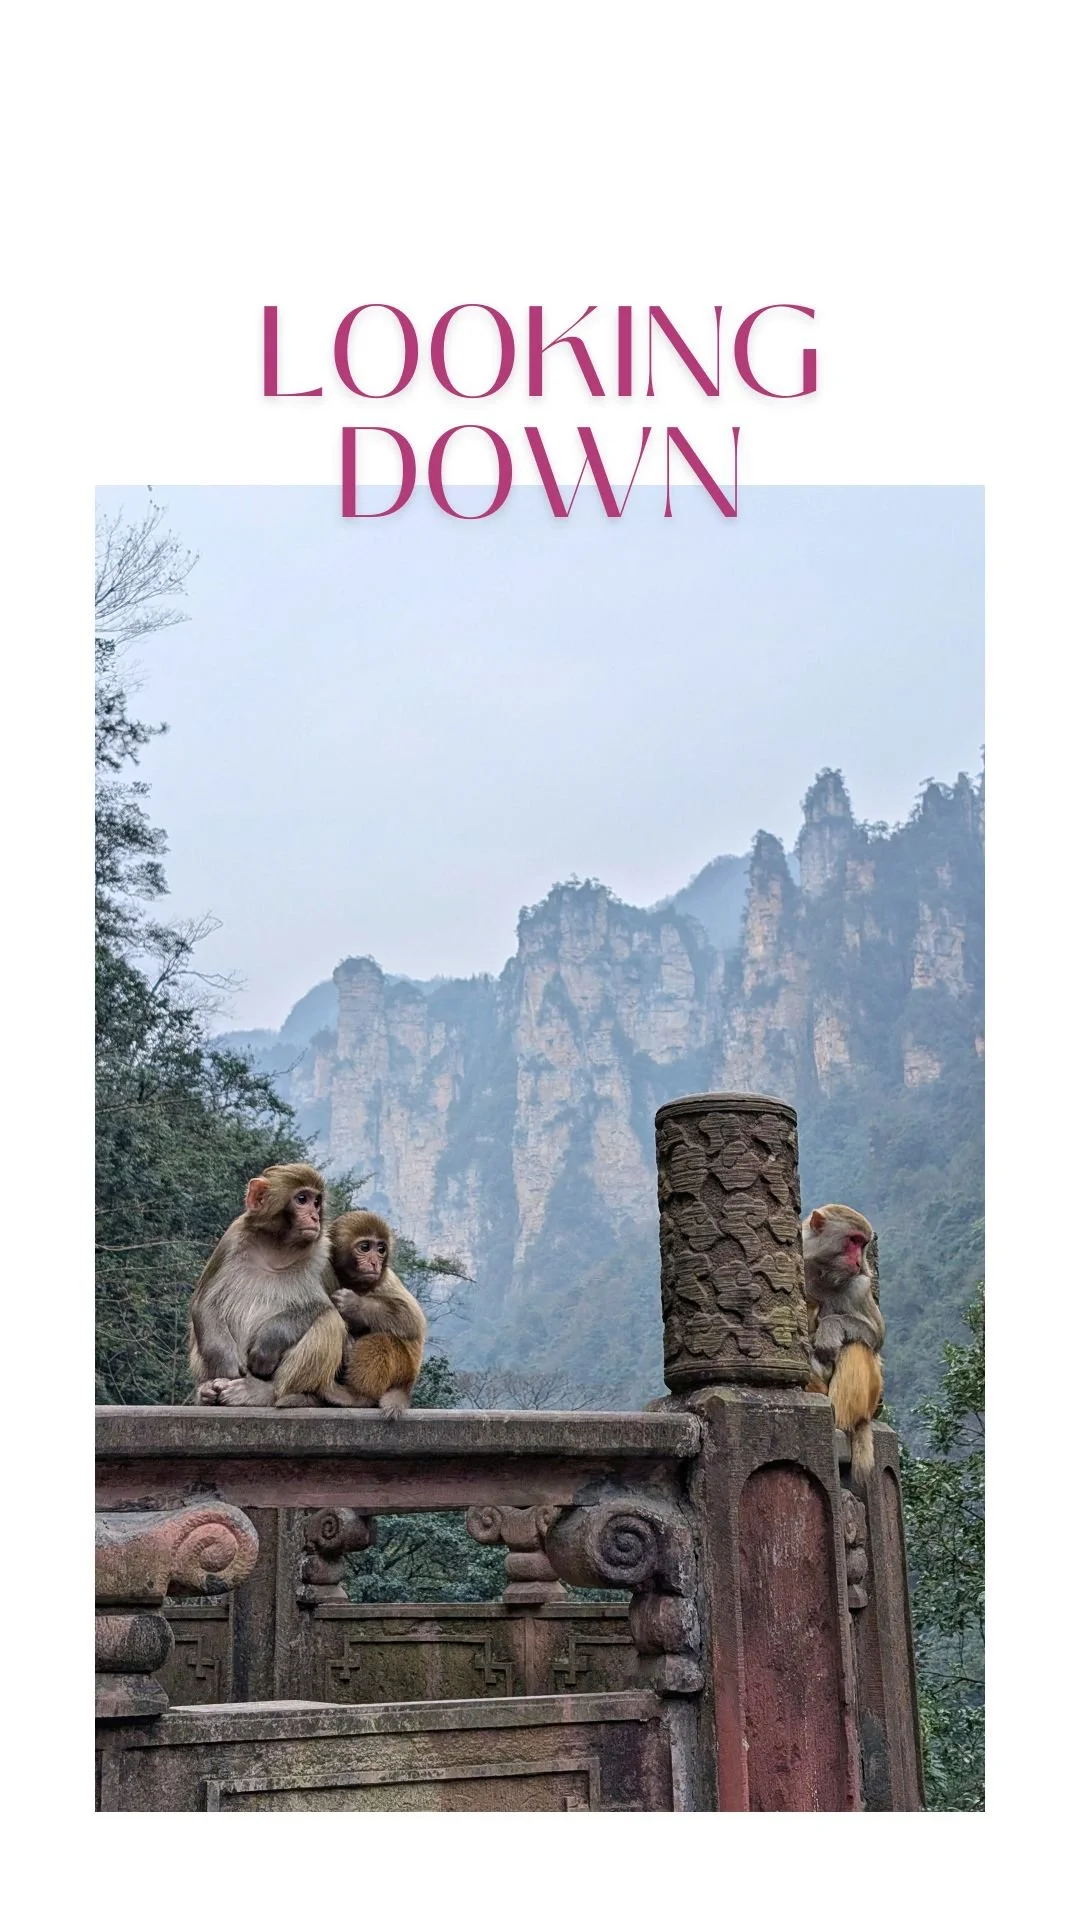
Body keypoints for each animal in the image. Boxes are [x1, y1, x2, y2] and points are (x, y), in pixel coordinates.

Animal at [189, 1164, 352, 1407]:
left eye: (316, 1202)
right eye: (302, 1199)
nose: (314, 1217)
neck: (278, 1246)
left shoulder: (323, 1254)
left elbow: (326, 1306)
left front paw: (268, 1342)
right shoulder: (232, 1236)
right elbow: (204, 1301)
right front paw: (225, 1366)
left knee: (328, 1320)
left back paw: (265, 1392)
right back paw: (206, 1390)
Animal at [327, 1210, 427, 1417]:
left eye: (381, 1249)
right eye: (365, 1247)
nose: (375, 1263)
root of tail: (408, 1386)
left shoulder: (386, 1280)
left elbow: (411, 1320)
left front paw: (355, 1305)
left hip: (403, 1369)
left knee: (381, 1340)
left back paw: (358, 1397)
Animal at [801, 1202, 885, 1482]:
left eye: (862, 1244)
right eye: (853, 1241)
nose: (859, 1261)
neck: (821, 1270)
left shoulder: (858, 1284)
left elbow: (876, 1335)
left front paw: (830, 1328)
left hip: (870, 1396)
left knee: (857, 1346)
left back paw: (836, 1420)